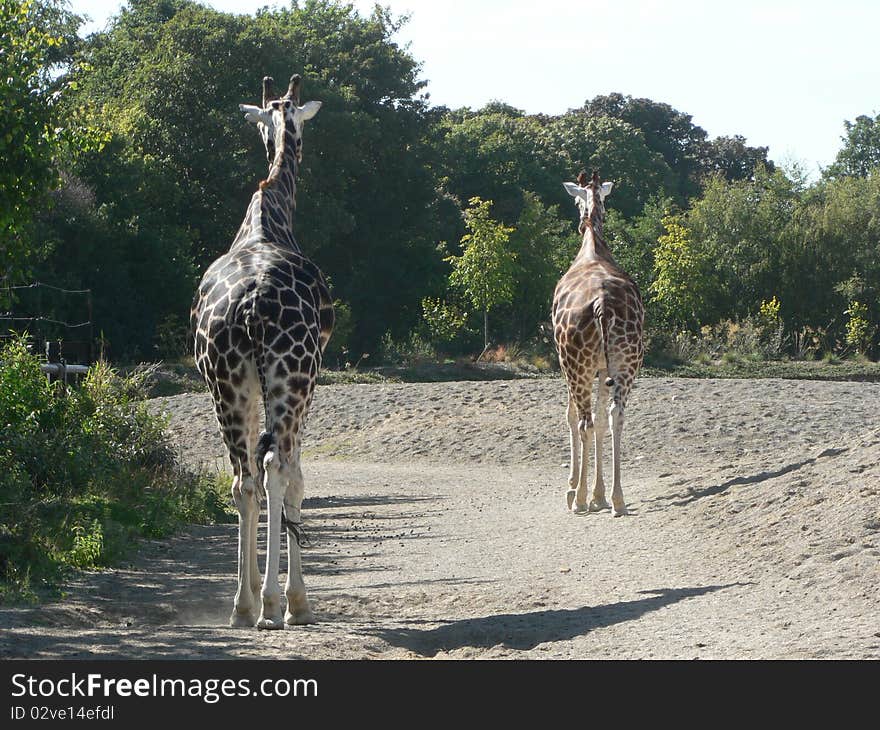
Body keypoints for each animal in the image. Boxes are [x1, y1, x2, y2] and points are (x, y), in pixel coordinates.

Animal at [191, 77, 332, 628]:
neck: (269, 217)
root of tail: (251, 304)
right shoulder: (306, 385)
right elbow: (297, 480)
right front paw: (297, 601)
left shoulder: (249, 389)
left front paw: (254, 589)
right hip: (290, 381)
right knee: (275, 473)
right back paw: (275, 603)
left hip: (225, 386)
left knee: (243, 480)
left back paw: (243, 605)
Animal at [552, 171, 648, 516]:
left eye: (574, 201)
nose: (580, 221)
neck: (593, 246)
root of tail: (602, 304)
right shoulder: (604, 368)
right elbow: (603, 419)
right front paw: (599, 494)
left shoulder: (566, 364)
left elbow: (570, 416)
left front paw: (574, 489)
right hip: (627, 362)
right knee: (615, 414)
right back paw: (617, 499)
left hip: (576, 363)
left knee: (584, 421)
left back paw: (579, 499)